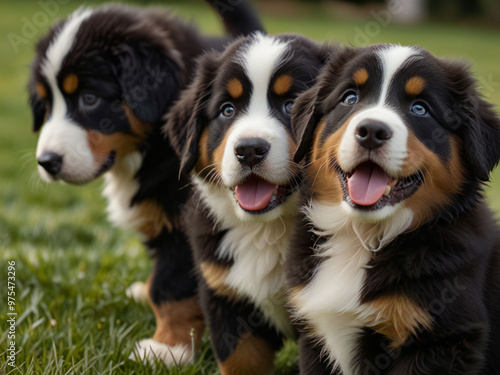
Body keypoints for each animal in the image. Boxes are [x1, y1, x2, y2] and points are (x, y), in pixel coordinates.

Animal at [27, 1, 264, 368]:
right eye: (46, 104)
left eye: (90, 98)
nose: (47, 162)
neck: (152, 147)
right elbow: (161, 286)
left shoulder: (185, 227)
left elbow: (169, 289)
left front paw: (168, 349)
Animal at [166, 33, 330, 374]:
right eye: (227, 110)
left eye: (291, 105)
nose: (249, 149)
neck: (266, 231)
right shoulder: (228, 302)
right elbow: (240, 362)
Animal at [288, 44, 500, 375]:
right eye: (350, 97)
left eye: (420, 109)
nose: (371, 130)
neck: (361, 236)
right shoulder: (315, 340)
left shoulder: (442, 341)